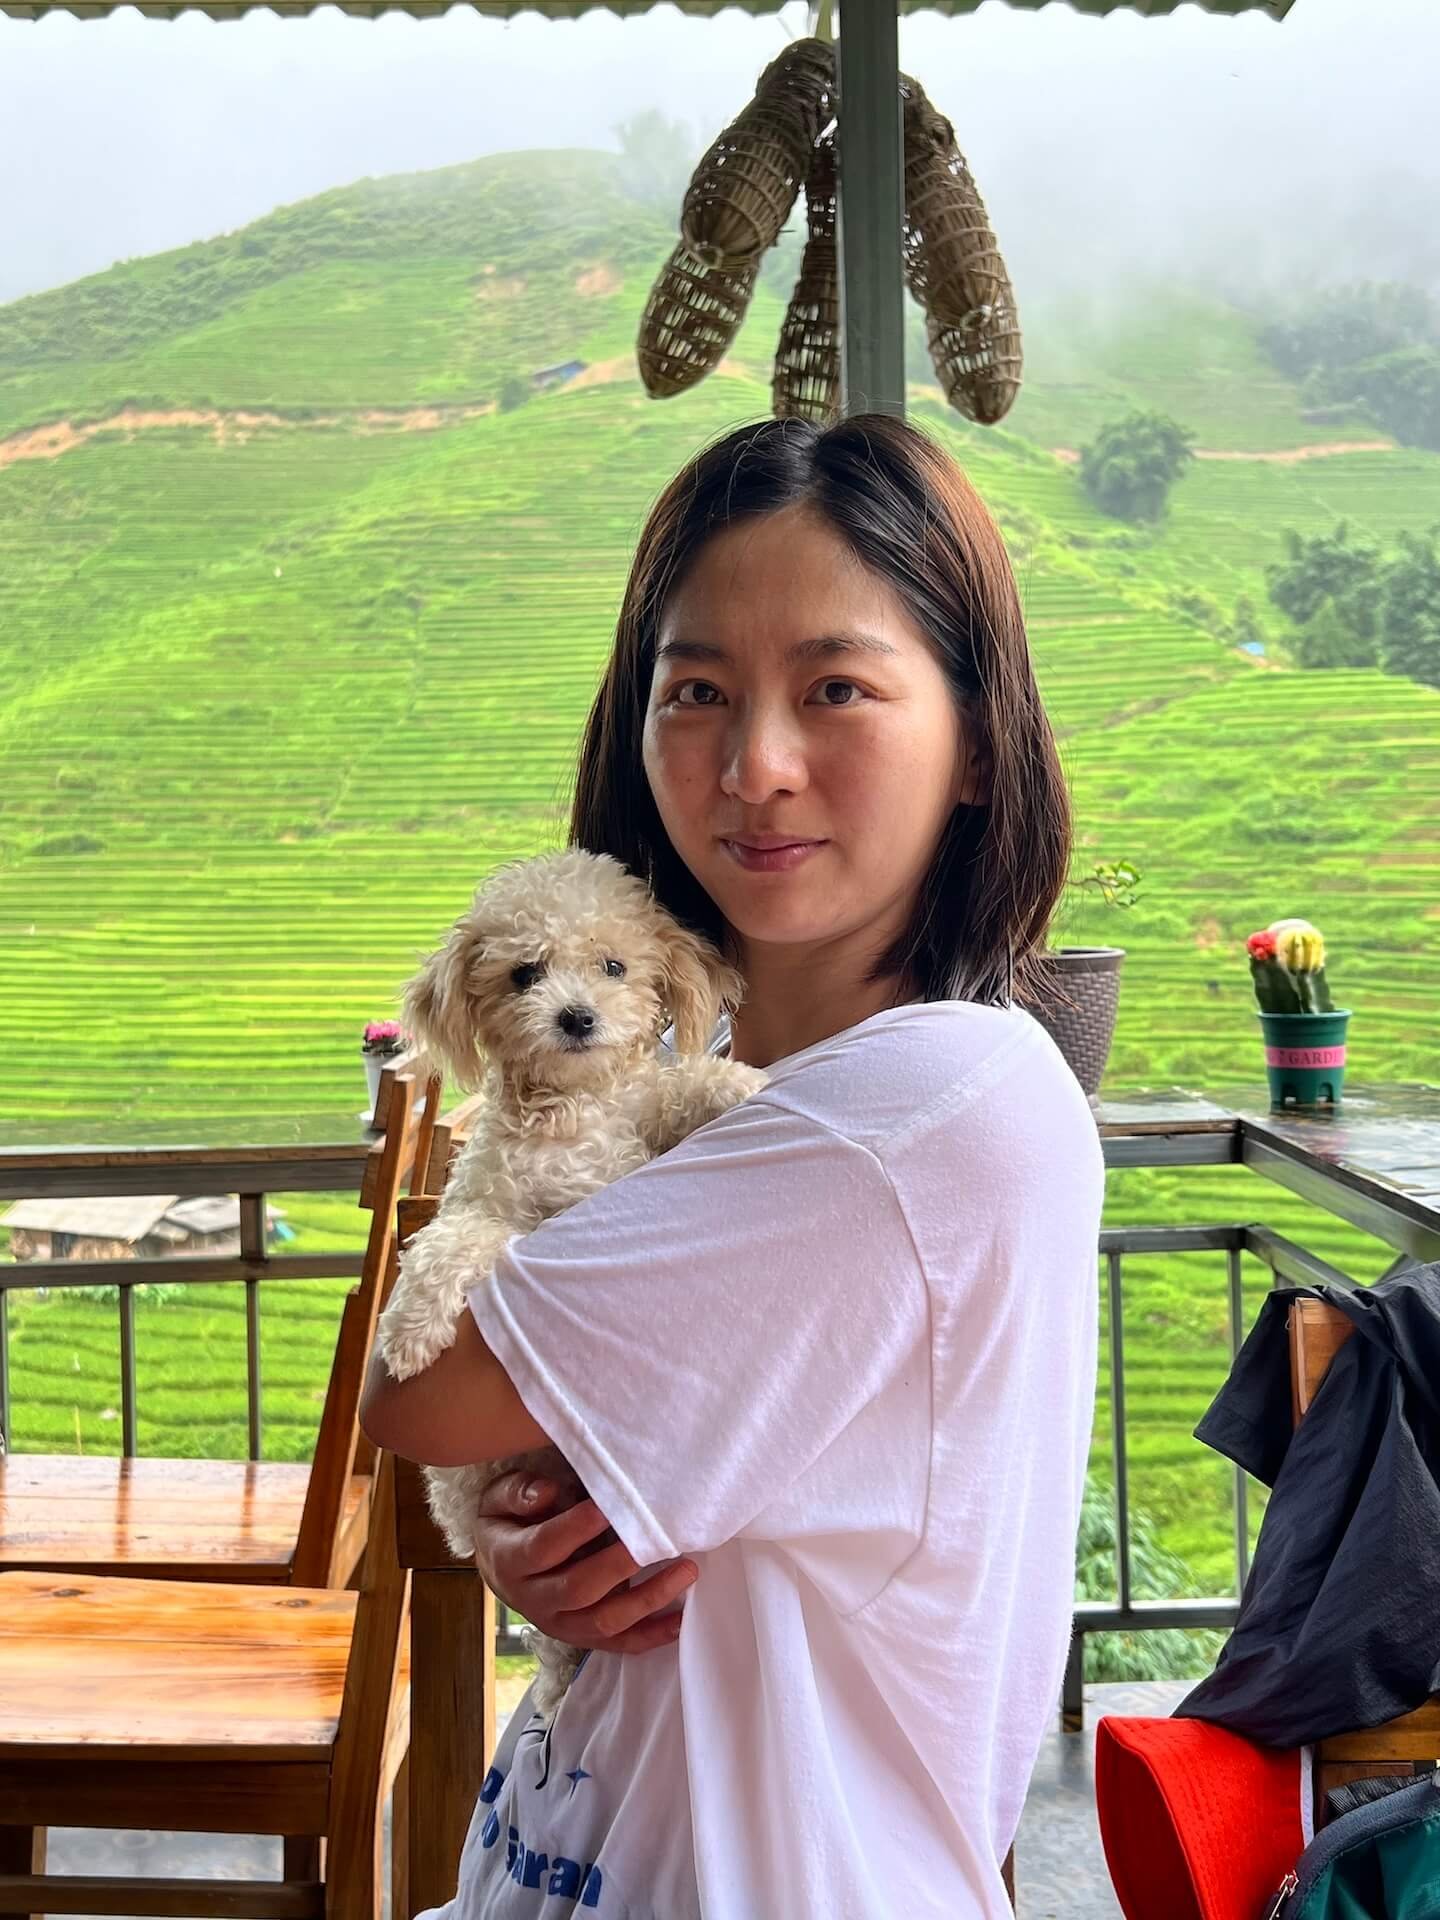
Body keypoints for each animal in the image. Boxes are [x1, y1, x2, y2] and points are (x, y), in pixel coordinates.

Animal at [378, 848, 771, 1720]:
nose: (577, 1018)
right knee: (557, 1647)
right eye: (524, 973)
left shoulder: (633, 1138)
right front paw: (410, 1331)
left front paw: (742, 1085)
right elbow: (455, 1239)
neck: (573, 1111)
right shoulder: (494, 1202)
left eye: (614, 966)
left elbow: (677, 1086)